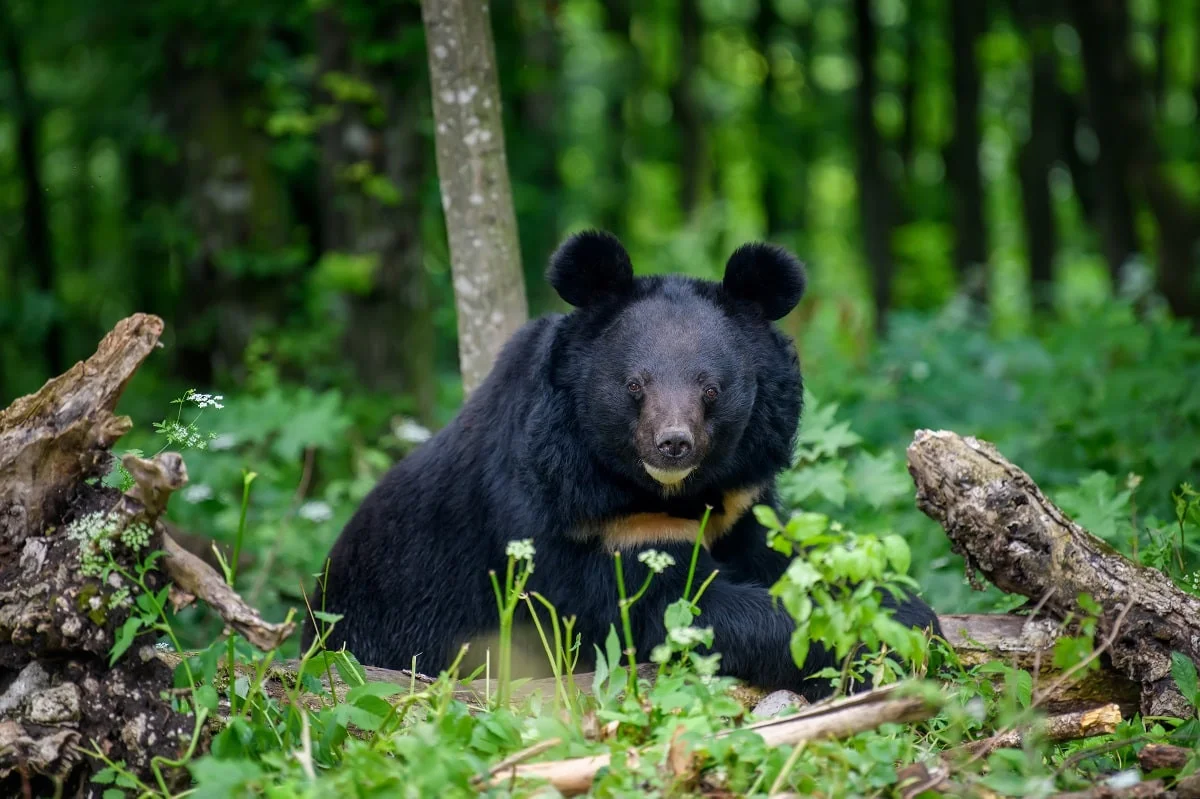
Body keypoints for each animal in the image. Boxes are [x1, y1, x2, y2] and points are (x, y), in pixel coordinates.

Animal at [304, 229, 940, 695]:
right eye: (635, 385)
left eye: (711, 389)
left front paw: (909, 614)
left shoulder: (741, 497)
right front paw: (854, 651)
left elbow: (790, 557)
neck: (668, 492)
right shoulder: (579, 522)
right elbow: (666, 609)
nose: (673, 443)